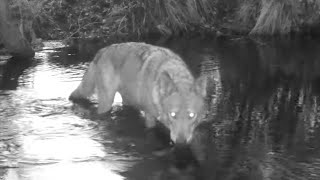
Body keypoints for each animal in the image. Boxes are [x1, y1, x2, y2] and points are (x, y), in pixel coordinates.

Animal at [68, 42, 206, 145]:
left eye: (192, 115)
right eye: (173, 115)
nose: (181, 142)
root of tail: (102, 50)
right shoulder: (149, 117)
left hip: (127, 99)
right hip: (107, 102)